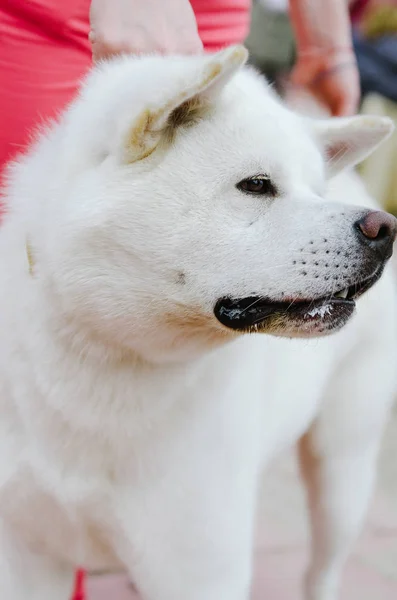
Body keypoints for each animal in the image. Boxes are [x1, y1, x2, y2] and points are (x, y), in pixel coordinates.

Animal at [0, 47, 396, 600]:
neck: (107, 356)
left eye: (316, 192)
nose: (385, 230)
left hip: (342, 470)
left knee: (323, 568)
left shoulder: (200, 567)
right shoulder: (27, 553)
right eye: (256, 185)